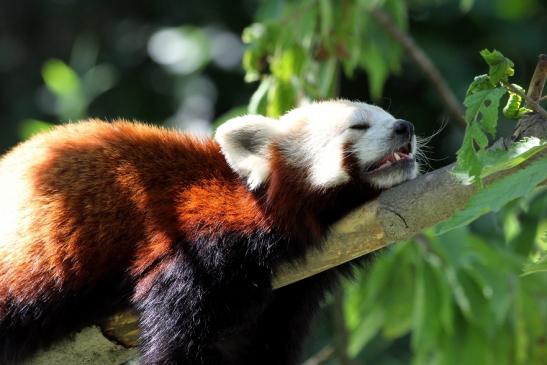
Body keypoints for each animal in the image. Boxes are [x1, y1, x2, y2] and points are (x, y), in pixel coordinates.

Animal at [0, 99, 416, 364]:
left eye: (390, 115)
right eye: (358, 125)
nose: (405, 126)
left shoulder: (292, 292)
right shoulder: (198, 246)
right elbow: (178, 338)